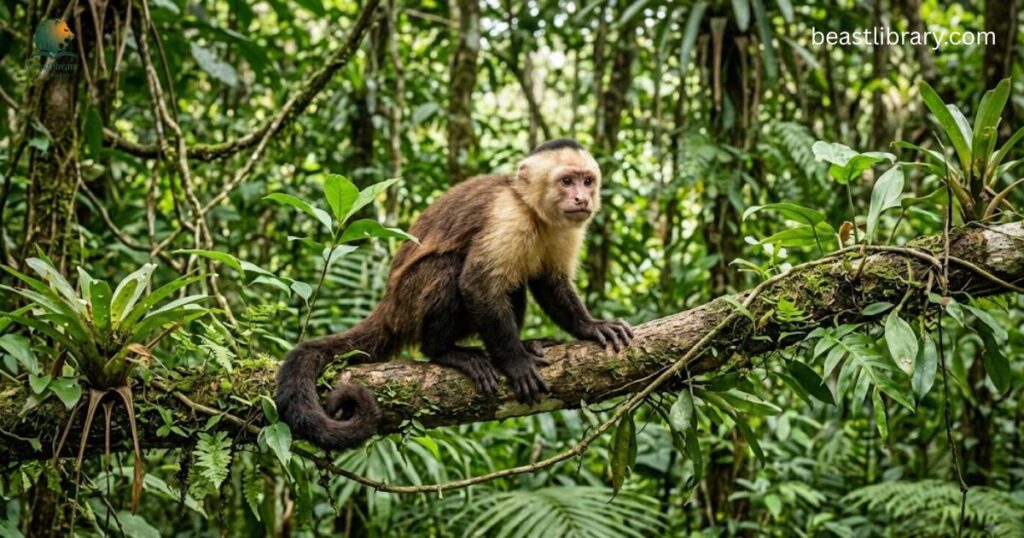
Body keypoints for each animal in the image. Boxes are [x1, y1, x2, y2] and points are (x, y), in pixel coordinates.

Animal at [274, 139, 634, 449]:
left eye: (588, 181)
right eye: (567, 181)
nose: (582, 199)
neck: (532, 210)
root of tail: (390, 306)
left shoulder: (567, 229)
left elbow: (551, 283)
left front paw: (590, 327)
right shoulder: (507, 216)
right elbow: (476, 283)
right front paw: (515, 361)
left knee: (513, 287)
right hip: (410, 301)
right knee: (451, 269)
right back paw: (446, 351)